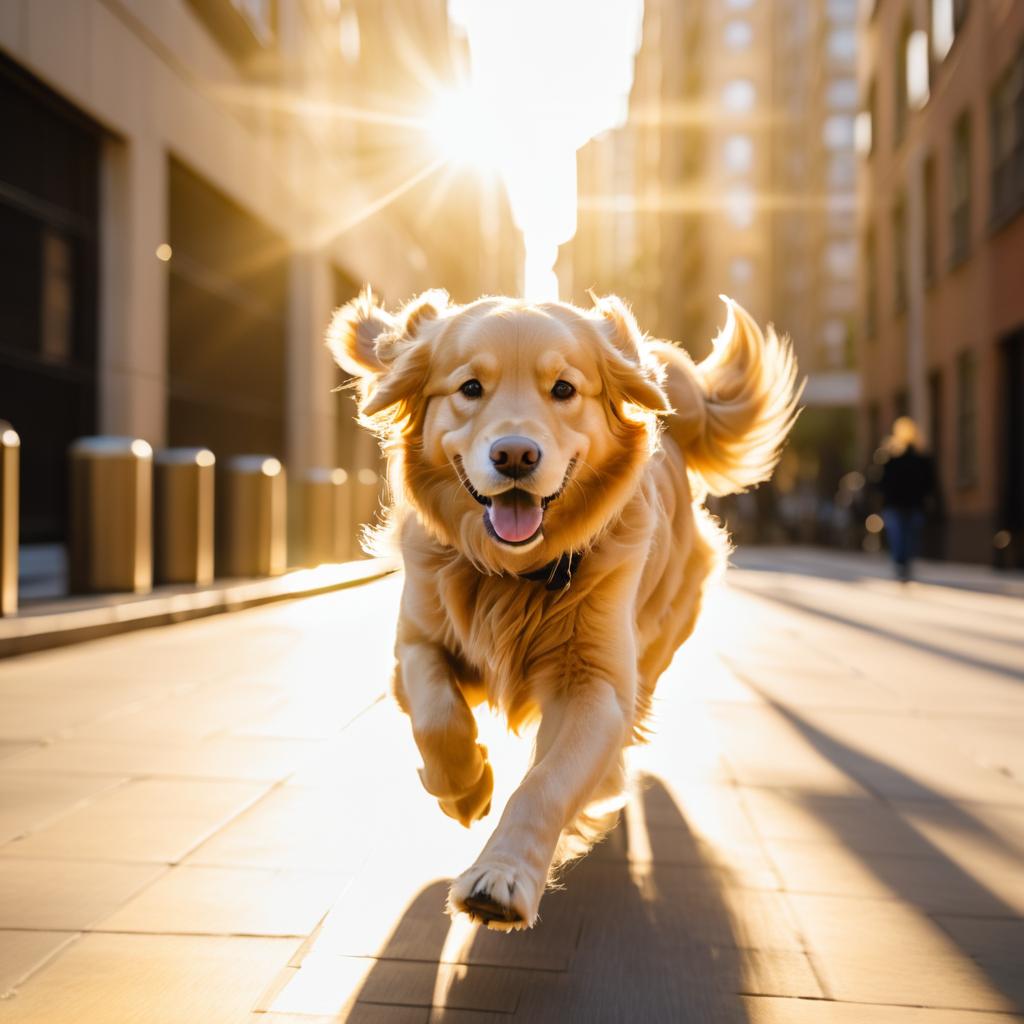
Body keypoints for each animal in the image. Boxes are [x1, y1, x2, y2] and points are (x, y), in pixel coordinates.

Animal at [329, 288, 798, 929]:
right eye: (470, 387)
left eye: (564, 388)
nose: (515, 455)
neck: (514, 573)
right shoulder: (417, 640)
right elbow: (436, 716)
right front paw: (466, 786)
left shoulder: (595, 685)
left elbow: (546, 783)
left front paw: (501, 877)